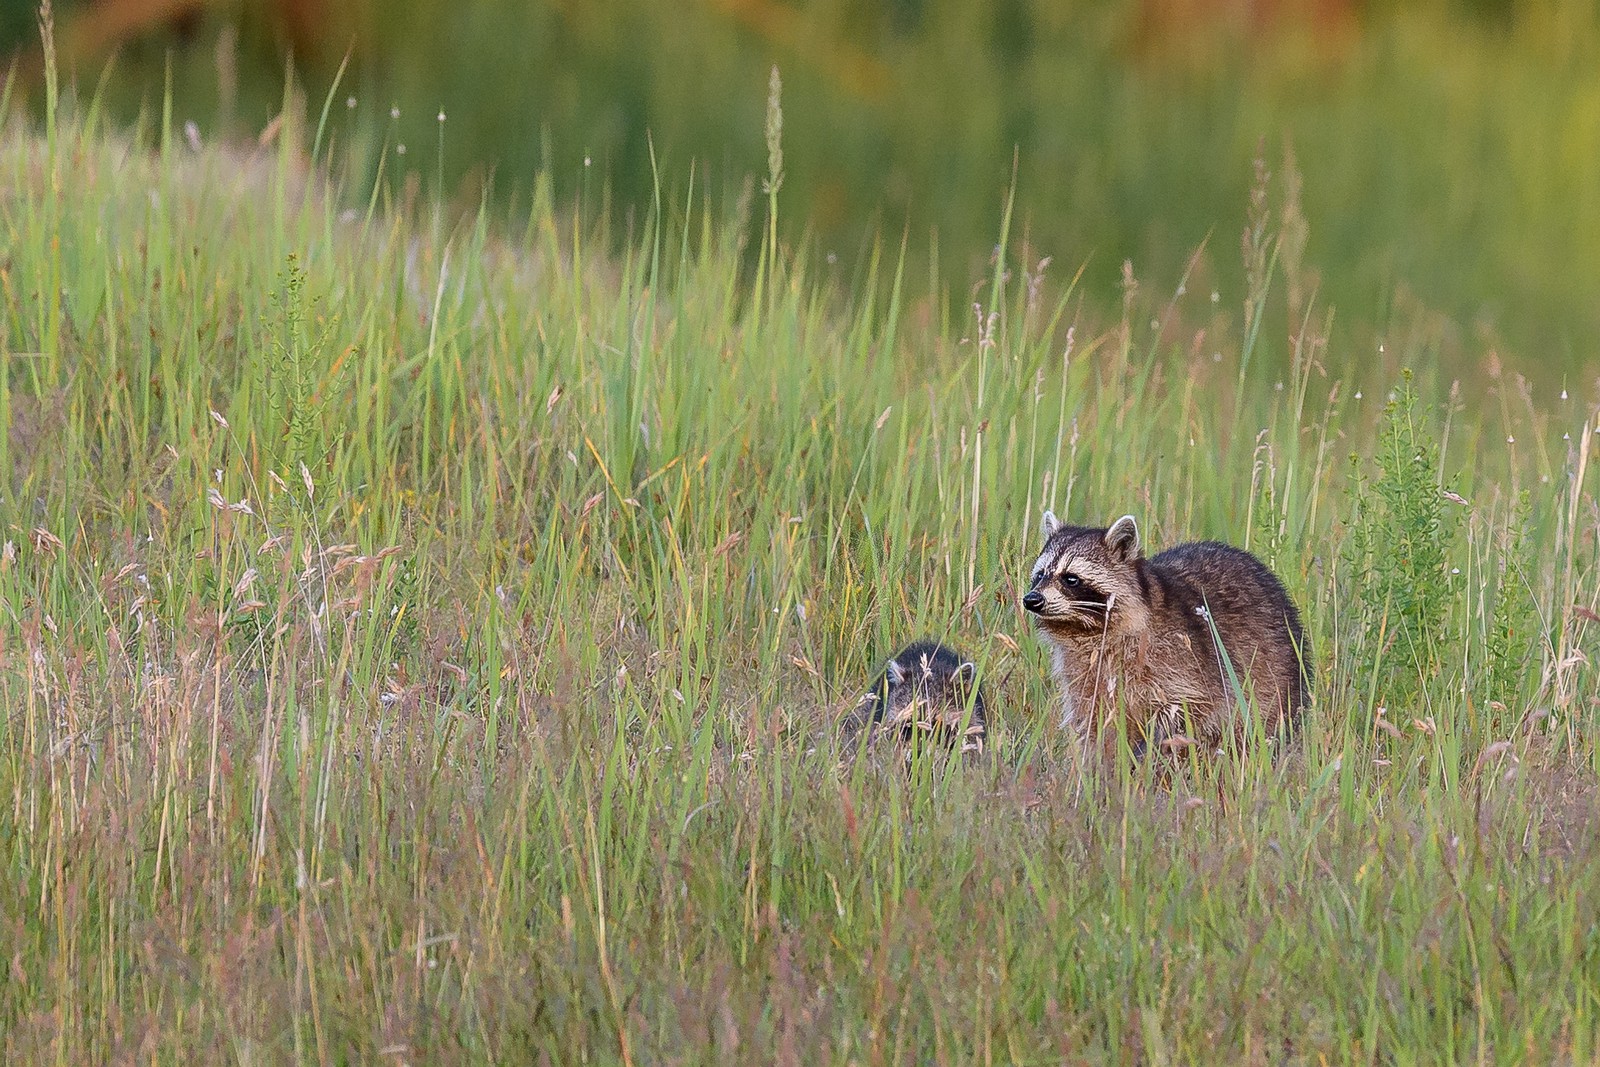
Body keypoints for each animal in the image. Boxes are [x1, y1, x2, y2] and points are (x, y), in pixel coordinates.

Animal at [1022, 512, 1310, 761]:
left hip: (1278, 676)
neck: (1086, 630)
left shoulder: (1180, 664)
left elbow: (1187, 709)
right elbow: (1094, 728)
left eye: (1071, 578)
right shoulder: (1084, 678)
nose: (1031, 600)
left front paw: (1143, 754)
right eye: (1040, 574)